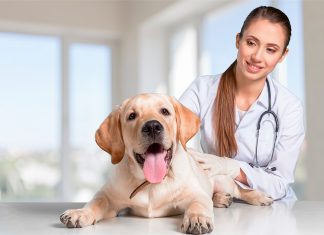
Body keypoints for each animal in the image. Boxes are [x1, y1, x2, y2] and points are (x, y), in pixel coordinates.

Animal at [59, 93, 272, 233]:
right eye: (131, 116)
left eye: (165, 111)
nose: (153, 126)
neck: (151, 184)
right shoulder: (109, 196)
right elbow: (96, 202)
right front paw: (80, 212)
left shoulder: (194, 194)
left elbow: (198, 203)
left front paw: (197, 218)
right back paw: (221, 199)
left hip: (221, 179)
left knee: (239, 189)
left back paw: (258, 196)